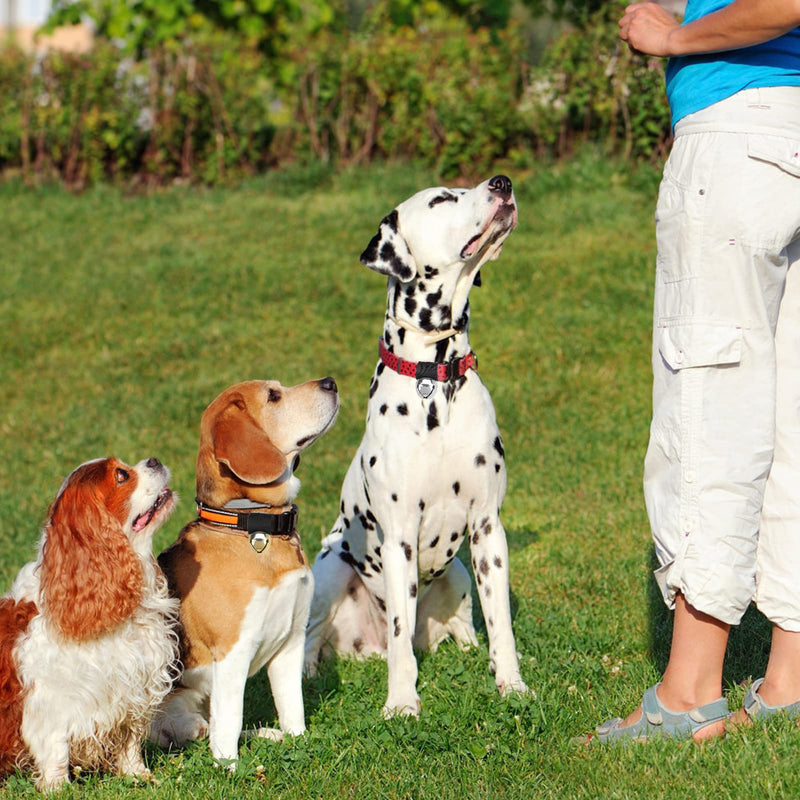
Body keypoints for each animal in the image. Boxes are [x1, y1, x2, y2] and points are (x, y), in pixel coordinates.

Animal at [152, 378, 340, 764]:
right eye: (274, 396)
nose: (330, 382)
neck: (254, 530)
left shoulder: (292, 640)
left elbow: (292, 705)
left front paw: (299, 741)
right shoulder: (232, 652)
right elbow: (230, 718)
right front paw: (228, 767)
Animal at [304, 172, 528, 716]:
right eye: (443, 198)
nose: (503, 181)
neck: (434, 378)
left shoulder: (488, 528)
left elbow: (501, 625)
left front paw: (511, 684)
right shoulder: (399, 535)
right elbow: (401, 638)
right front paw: (402, 702)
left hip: (459, 573)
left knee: (463, 626)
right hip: (329, 569)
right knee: (319, 640)